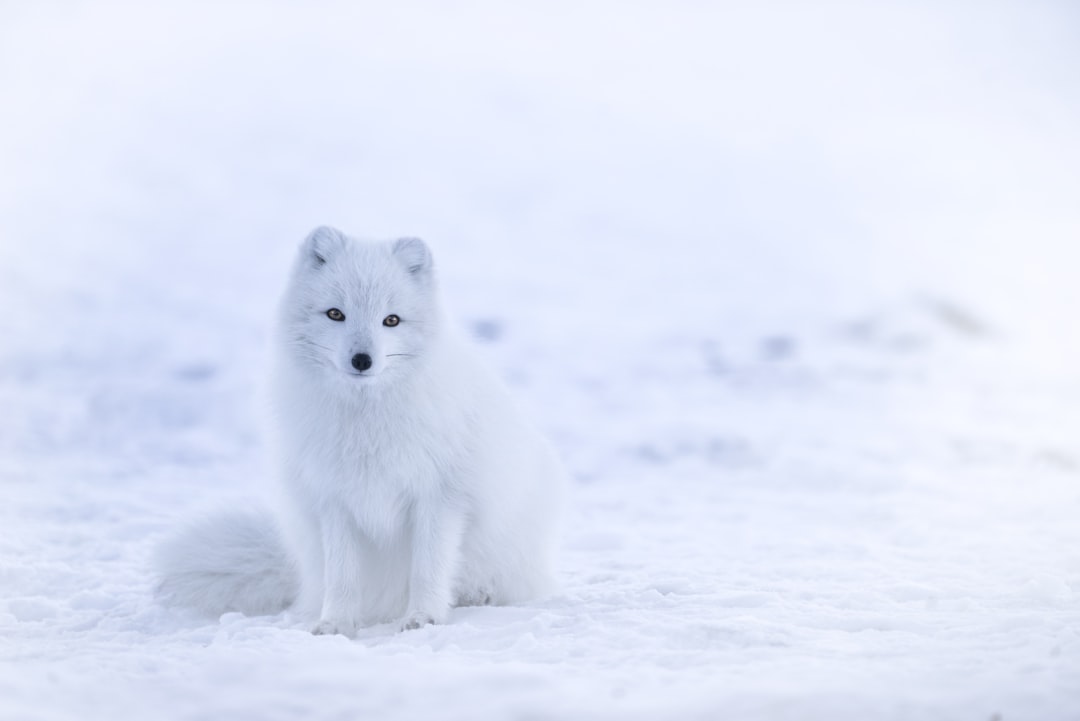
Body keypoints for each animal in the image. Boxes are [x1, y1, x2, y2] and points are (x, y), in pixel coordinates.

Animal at [162, 227, 565, 634]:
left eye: (392, 320)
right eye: (335, 314)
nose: (362, 360)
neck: (366, 420)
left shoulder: (439, 497)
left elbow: (428, 568)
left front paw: (423, 618)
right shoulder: (334, 500)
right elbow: (342, 576)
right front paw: (336, 624)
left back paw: (477, 595)